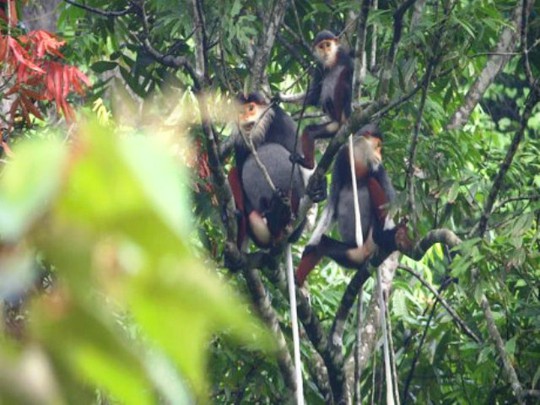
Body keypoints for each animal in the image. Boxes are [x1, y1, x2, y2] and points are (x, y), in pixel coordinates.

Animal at [292, 30, 354, 169]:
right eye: (321, 46)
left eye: (328, 45)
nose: (326, 51)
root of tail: (339, 123)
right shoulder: (319, 66)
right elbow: (314, 95)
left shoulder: (344, 56)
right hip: (332, 127)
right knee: (309, 131)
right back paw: (308, 164)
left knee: (344, 80)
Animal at [294, 123, 412, 284]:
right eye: (378, 146)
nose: (380, 155)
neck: (357, 164)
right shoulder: (341, 160)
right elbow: (331, 210)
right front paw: (309, 246)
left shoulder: (376, 166)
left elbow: (393, 201)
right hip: (354, 255)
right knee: (323, 244)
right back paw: (297, 280)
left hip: (370, 241)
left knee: (372, 181)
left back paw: (382, 237)